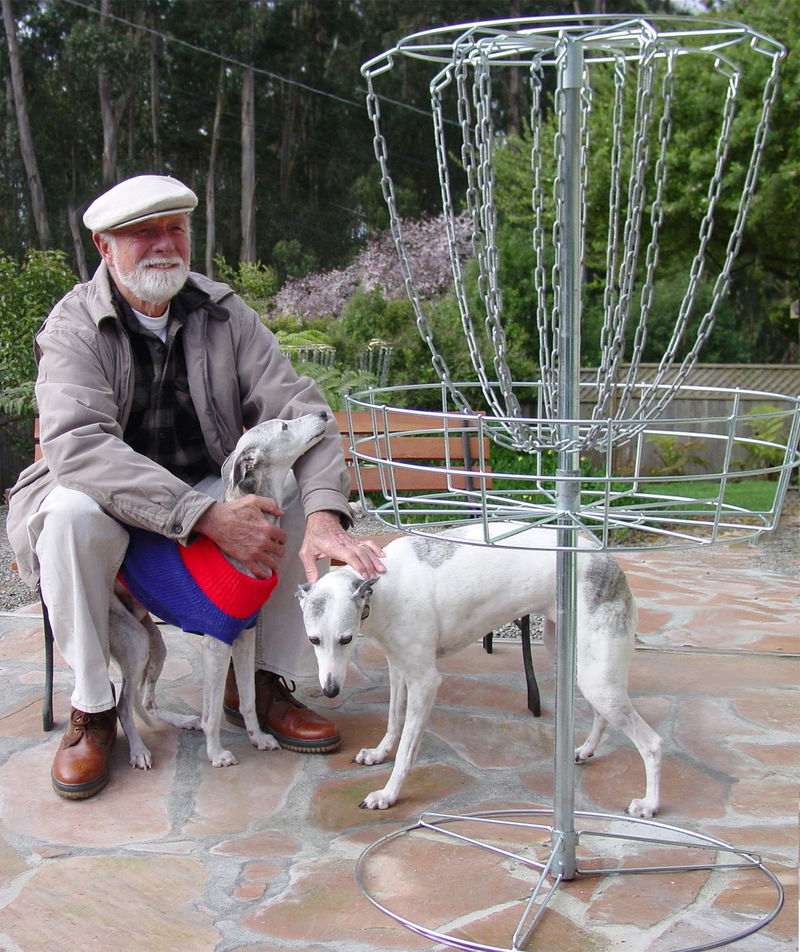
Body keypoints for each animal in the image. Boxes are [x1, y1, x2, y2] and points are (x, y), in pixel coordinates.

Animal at [108, 412, 328, 768]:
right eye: (283, 426)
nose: (323, 414)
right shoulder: (217, 641)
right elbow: (212, 713)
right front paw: (216, 753)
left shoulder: (245, 634)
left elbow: (248, 698)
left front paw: (258, 737)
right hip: (134, 642)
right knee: (123, 706)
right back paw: (139, 751)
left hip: (153, 643)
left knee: (147, 700)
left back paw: (183, 721)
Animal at [296, 520, 660, 820]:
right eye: (313, 639)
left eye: (345, 639)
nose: (330, 690)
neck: (382, 587)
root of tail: (609, 562)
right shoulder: (399, 667)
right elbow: (393, 721)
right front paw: (378, 753)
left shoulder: (425, 681)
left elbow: (407, 750)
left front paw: (387, 794)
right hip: (579, 665)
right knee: (601, 714)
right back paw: (585, 750)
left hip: (597, 677)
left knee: (652, 742)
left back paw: (649, 804)